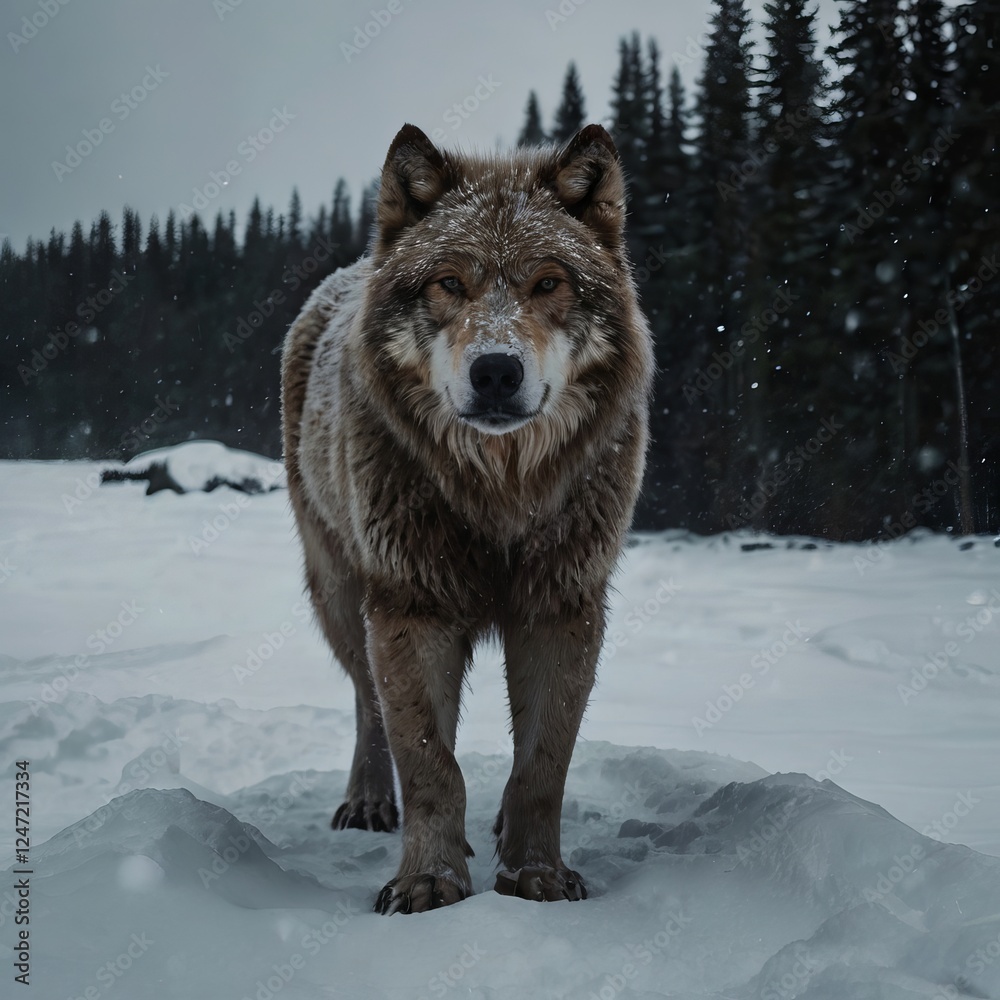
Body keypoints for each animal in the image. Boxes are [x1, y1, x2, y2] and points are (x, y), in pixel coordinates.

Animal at [281, 122, 653, 913]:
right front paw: (429, 879)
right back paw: (369, 803)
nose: (496, 371)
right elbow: (430, 764)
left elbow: (542, 766)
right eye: (449, 283)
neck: (499, 491)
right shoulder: (411, 607)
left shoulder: (562, 608)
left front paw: (537, 876)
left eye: (549, 283)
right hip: (340, 594)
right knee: (367, 702)